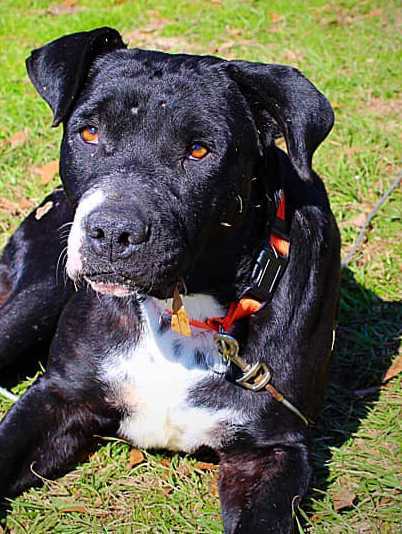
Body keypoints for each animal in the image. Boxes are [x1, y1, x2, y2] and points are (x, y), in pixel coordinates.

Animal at [0, 27, 340, 532]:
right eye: (89, 132)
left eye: (199, 150)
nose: (112, 232)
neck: (183, 310)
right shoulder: (56, 395)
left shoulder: (274, 448)